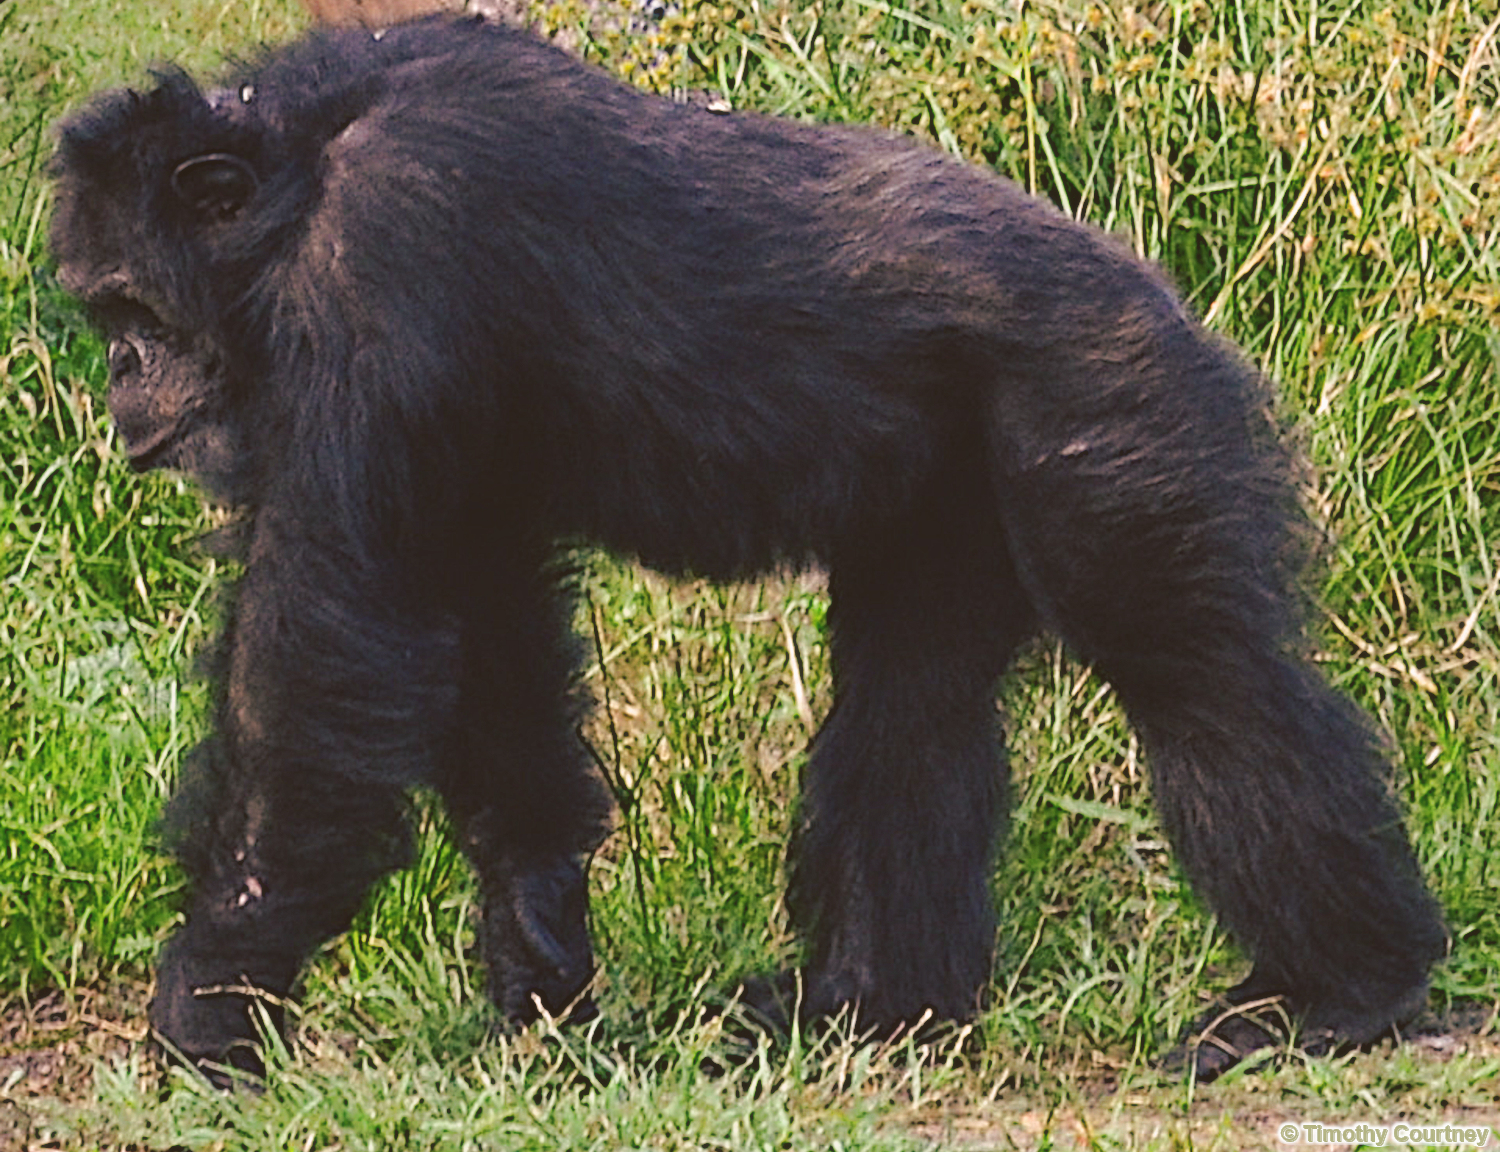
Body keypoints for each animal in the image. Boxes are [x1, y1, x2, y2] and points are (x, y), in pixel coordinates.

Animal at [49, 15, 1445, 1085]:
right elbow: (486, 635)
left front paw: (213, 996)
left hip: (1113, 413)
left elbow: (327, 655)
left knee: (1202, 684)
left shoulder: (387, 261)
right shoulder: (457, 458)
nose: (121, 375)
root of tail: (1170, 298)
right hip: (953, 493)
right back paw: (872, 1005)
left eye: (129, 305)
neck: (301, 179)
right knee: (912, 709)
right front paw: (540, 936)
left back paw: (1342, 990)